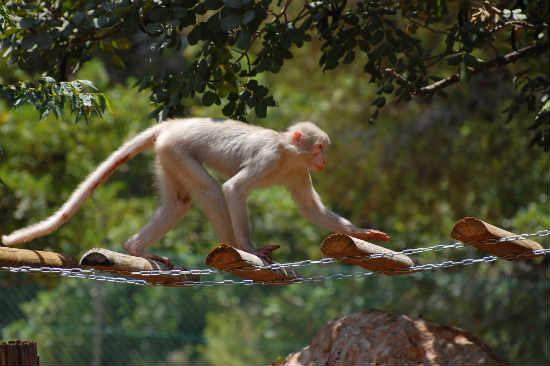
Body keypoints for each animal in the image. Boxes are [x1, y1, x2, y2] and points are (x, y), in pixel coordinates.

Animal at [1, 118, 388, 268]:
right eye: (319, 147)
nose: (324, 160)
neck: (288, 153)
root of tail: (174, 124)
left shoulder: (298, 170)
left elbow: (310, 210)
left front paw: (362, 233)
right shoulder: (270, 157)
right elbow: (234, 189)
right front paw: (249, 247)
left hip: (167, 155)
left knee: (179, 201)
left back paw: (135, 248)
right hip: (177, 148)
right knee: (213, 192)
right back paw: (234, 249)